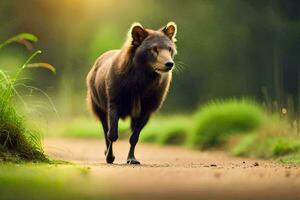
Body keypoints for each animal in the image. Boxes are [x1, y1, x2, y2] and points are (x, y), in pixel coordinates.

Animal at [85, 21, 177, 164]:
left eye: (169, 49)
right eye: (154, 49)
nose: (169, 63)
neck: (142, 79)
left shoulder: (147, 108)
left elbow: (134, 137)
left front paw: (132, 158)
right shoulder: (114, 101)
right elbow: (112, 134)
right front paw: (109, 157)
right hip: (97, 103)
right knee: (105, 129)